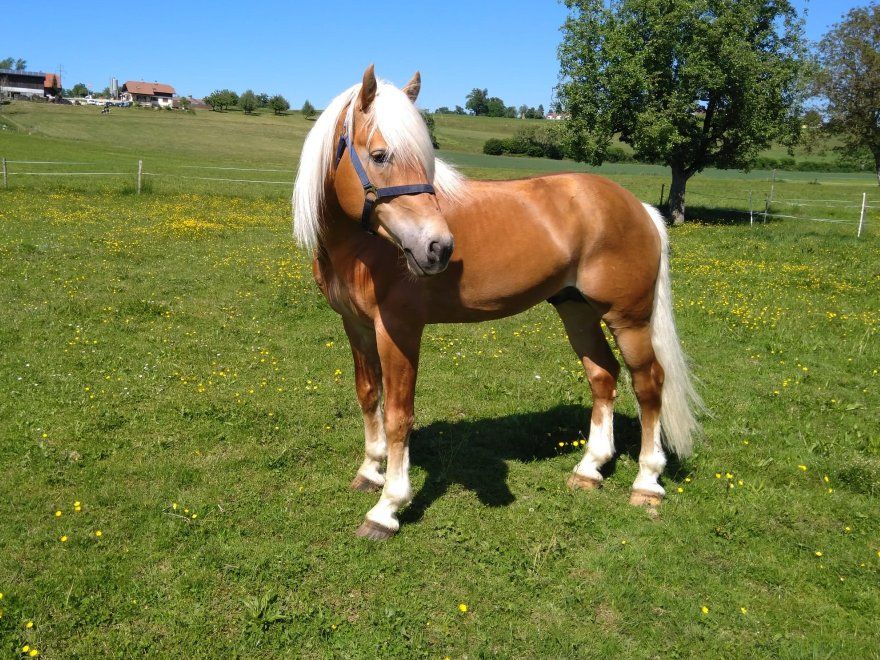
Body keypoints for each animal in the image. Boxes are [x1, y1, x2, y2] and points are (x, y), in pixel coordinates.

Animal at [294, 64, 700, 540]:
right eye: (379, 156)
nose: (438, 247)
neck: (362, 246)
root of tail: (638, 207)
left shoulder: (398, 329)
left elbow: (398, 413)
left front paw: (387, 507)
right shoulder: (355, 326)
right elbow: (368, 394)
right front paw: (370, 471)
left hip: (629, 318)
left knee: (648, 384)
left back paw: (647, 483)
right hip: (576, 309)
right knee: (603, 375)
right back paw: (589, 469)